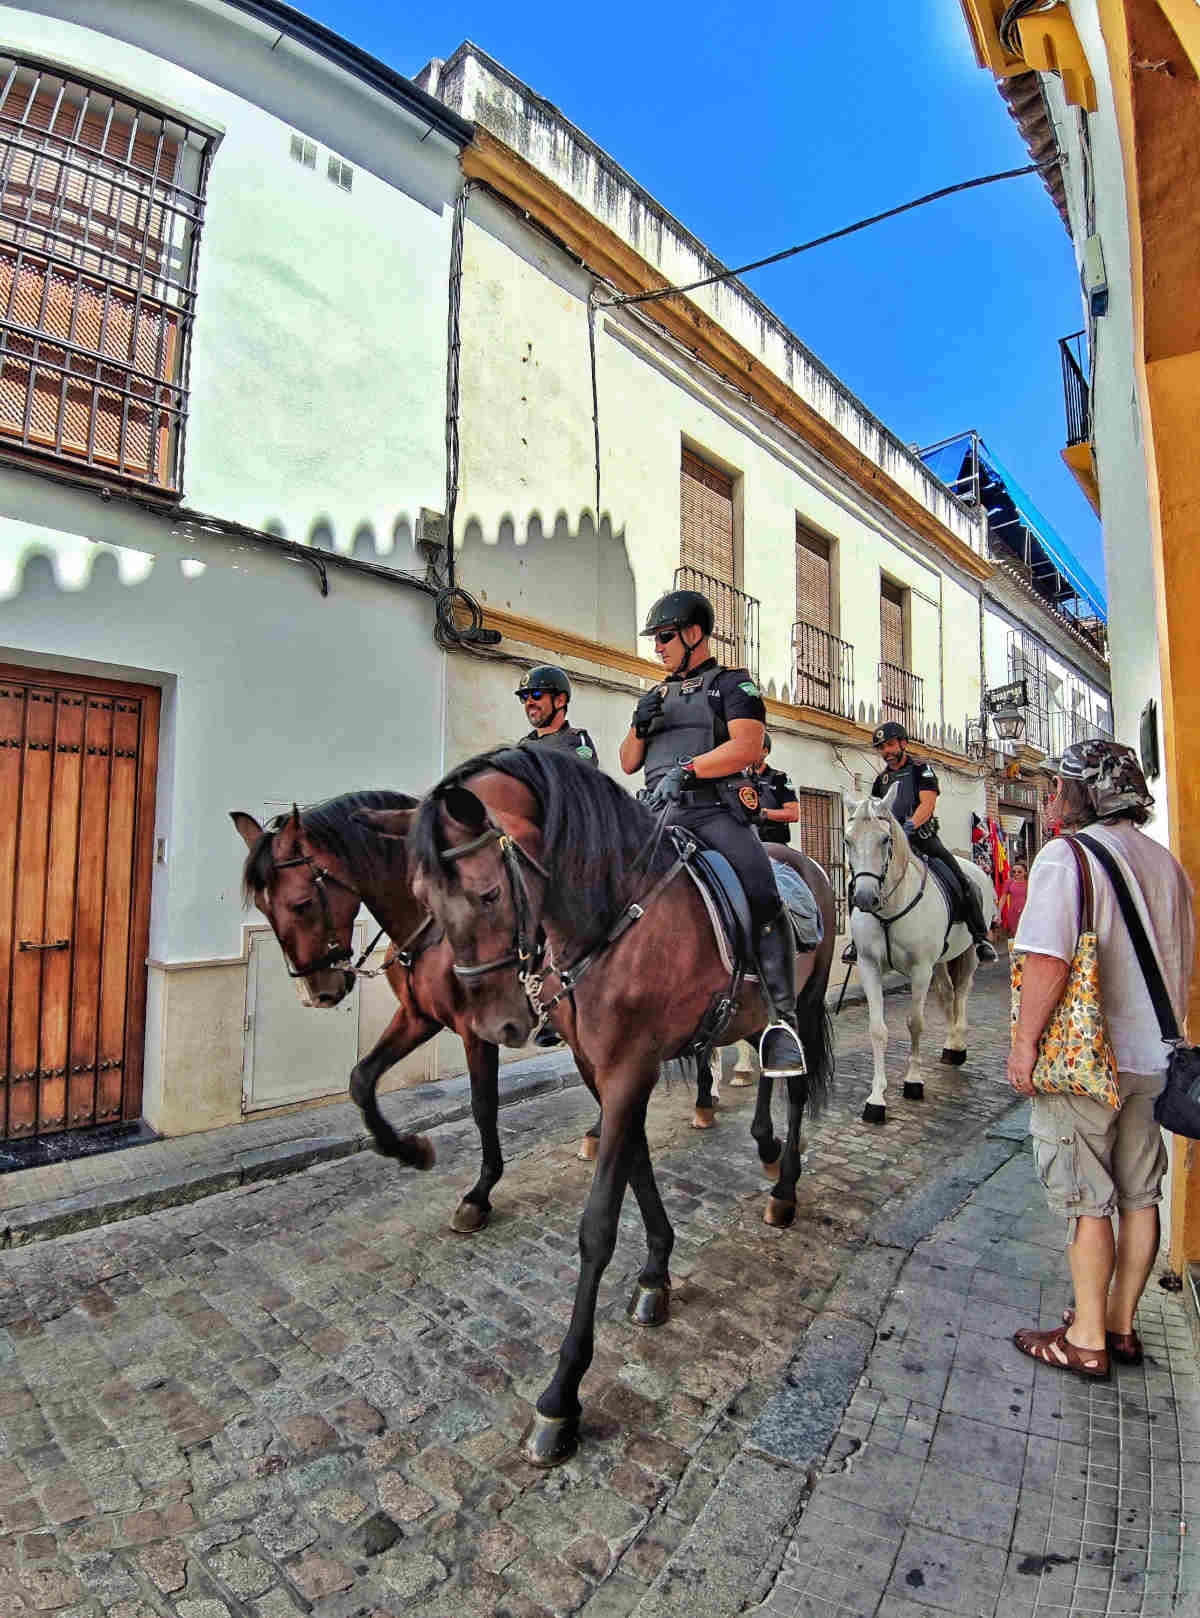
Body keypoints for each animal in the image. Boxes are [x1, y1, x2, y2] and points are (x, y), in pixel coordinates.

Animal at [232, 789, 514, 1229]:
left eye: (300, 904)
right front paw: (409, 1150)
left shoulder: (478, 1030)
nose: (316, 992)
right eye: (264, 910)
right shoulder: (419, 1017)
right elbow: (361, 1080)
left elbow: (484, 1106)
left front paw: (480, 1194)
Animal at [405, 744, 834, 1469]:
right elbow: (635, 1163)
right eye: (420, 898)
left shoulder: (632, 1065)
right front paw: (657, 1273)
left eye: (487, 893)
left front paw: (561, 1397)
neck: (609, 915)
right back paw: (767, 1146)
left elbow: (599, 1223)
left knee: (797, 1082)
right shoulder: (603, 1068)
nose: (493, 1026)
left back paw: (785, 1189)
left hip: (805, 1000)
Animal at [840, 783, 1002, 1126]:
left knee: (961, 993)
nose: (864, 898)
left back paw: (958, 1044)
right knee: (947, 994)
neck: (889, 907)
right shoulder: (869, 966)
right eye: (848, 840)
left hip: (967, 954)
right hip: (939, 962)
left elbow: (915, 1023)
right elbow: (877, 1030)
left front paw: (913, 1082)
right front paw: (876, 1099)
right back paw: (951, 1045)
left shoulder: (919, 970)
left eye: (885, 839)